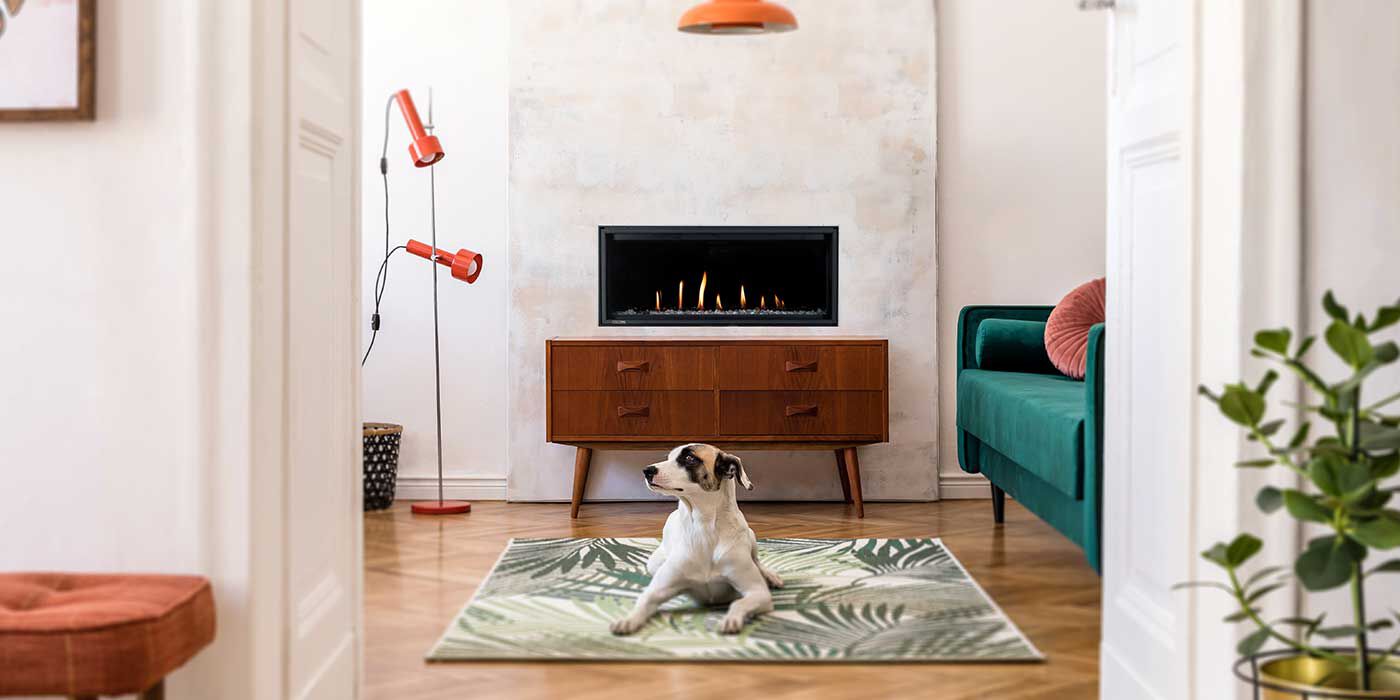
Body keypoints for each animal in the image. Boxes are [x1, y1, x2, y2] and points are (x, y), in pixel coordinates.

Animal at [613, 445, 789, 638]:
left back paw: (771, 576)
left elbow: (739, 603)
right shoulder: (657, 590)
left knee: (757, 561)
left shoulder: (758, 592)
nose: (647, 470)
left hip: (751, 535)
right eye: (669, 457)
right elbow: (644, 600)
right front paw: (628, 620)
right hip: (653, 563)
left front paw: (731, 619)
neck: (704, 526)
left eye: (689, 458)